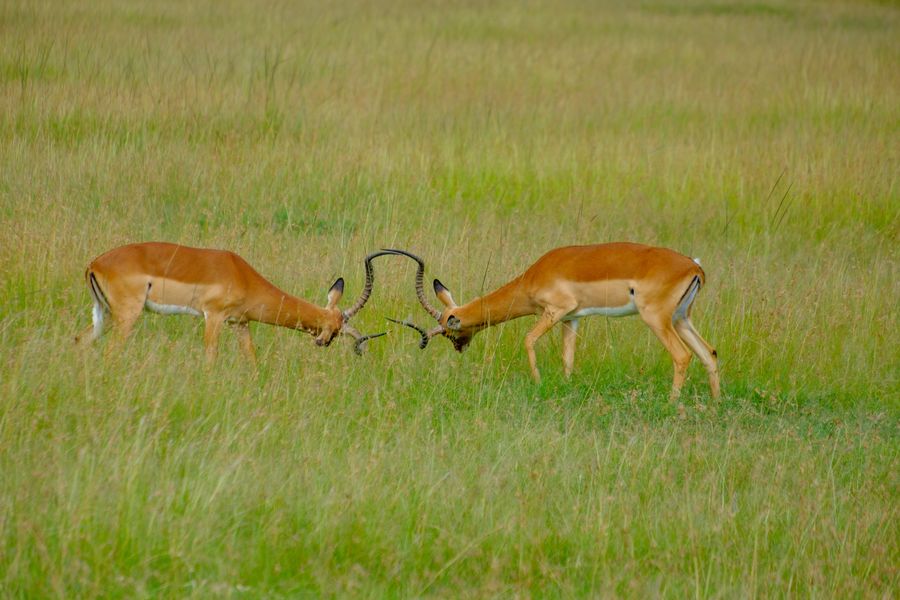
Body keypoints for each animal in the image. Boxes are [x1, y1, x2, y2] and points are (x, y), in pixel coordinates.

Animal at [76, 242, 391, 362]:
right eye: (337, 329)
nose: (322, 342)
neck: (243, 276)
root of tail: (95, 264)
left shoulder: (239, 323)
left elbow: (251, 359)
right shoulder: (212, 317)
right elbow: (211, 358)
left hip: (103, 314)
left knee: (80, 340)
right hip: (127, 316)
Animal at [383, 243, 720, 399]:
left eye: (450, 331)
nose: (459, 348)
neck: (533, 276)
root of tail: (694, 267)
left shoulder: (555, 311)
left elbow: (528, 340)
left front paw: (538, 382)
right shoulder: (572, 320)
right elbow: (568, 358)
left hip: (658, 319)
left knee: (683, 356)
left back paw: (673, 402)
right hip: (681, 318)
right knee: (710, 353)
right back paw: (716, 402)